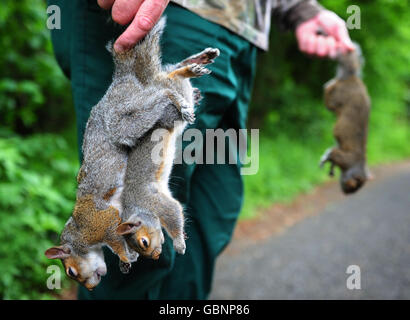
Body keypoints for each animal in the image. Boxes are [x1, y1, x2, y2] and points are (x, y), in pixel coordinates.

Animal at [44, 15, 218, 290]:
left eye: (71, 271)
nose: (91, 286)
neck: (80, 234)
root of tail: (121, 79)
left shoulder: (104, 223)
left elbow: (118, 240)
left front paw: (127, 256)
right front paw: (128, 262)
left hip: (126, 115)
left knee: (162, 93)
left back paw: (179, 93)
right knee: (171, 73)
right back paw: (196, 66)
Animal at [320, 43, 372, 194]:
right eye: (354, 186)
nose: (347, 191)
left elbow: (333, 153)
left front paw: (330, 165)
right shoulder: (344, 158)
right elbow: (333, 153)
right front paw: (326, 158)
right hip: (340, 93)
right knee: (330, 98)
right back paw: (330, 83)